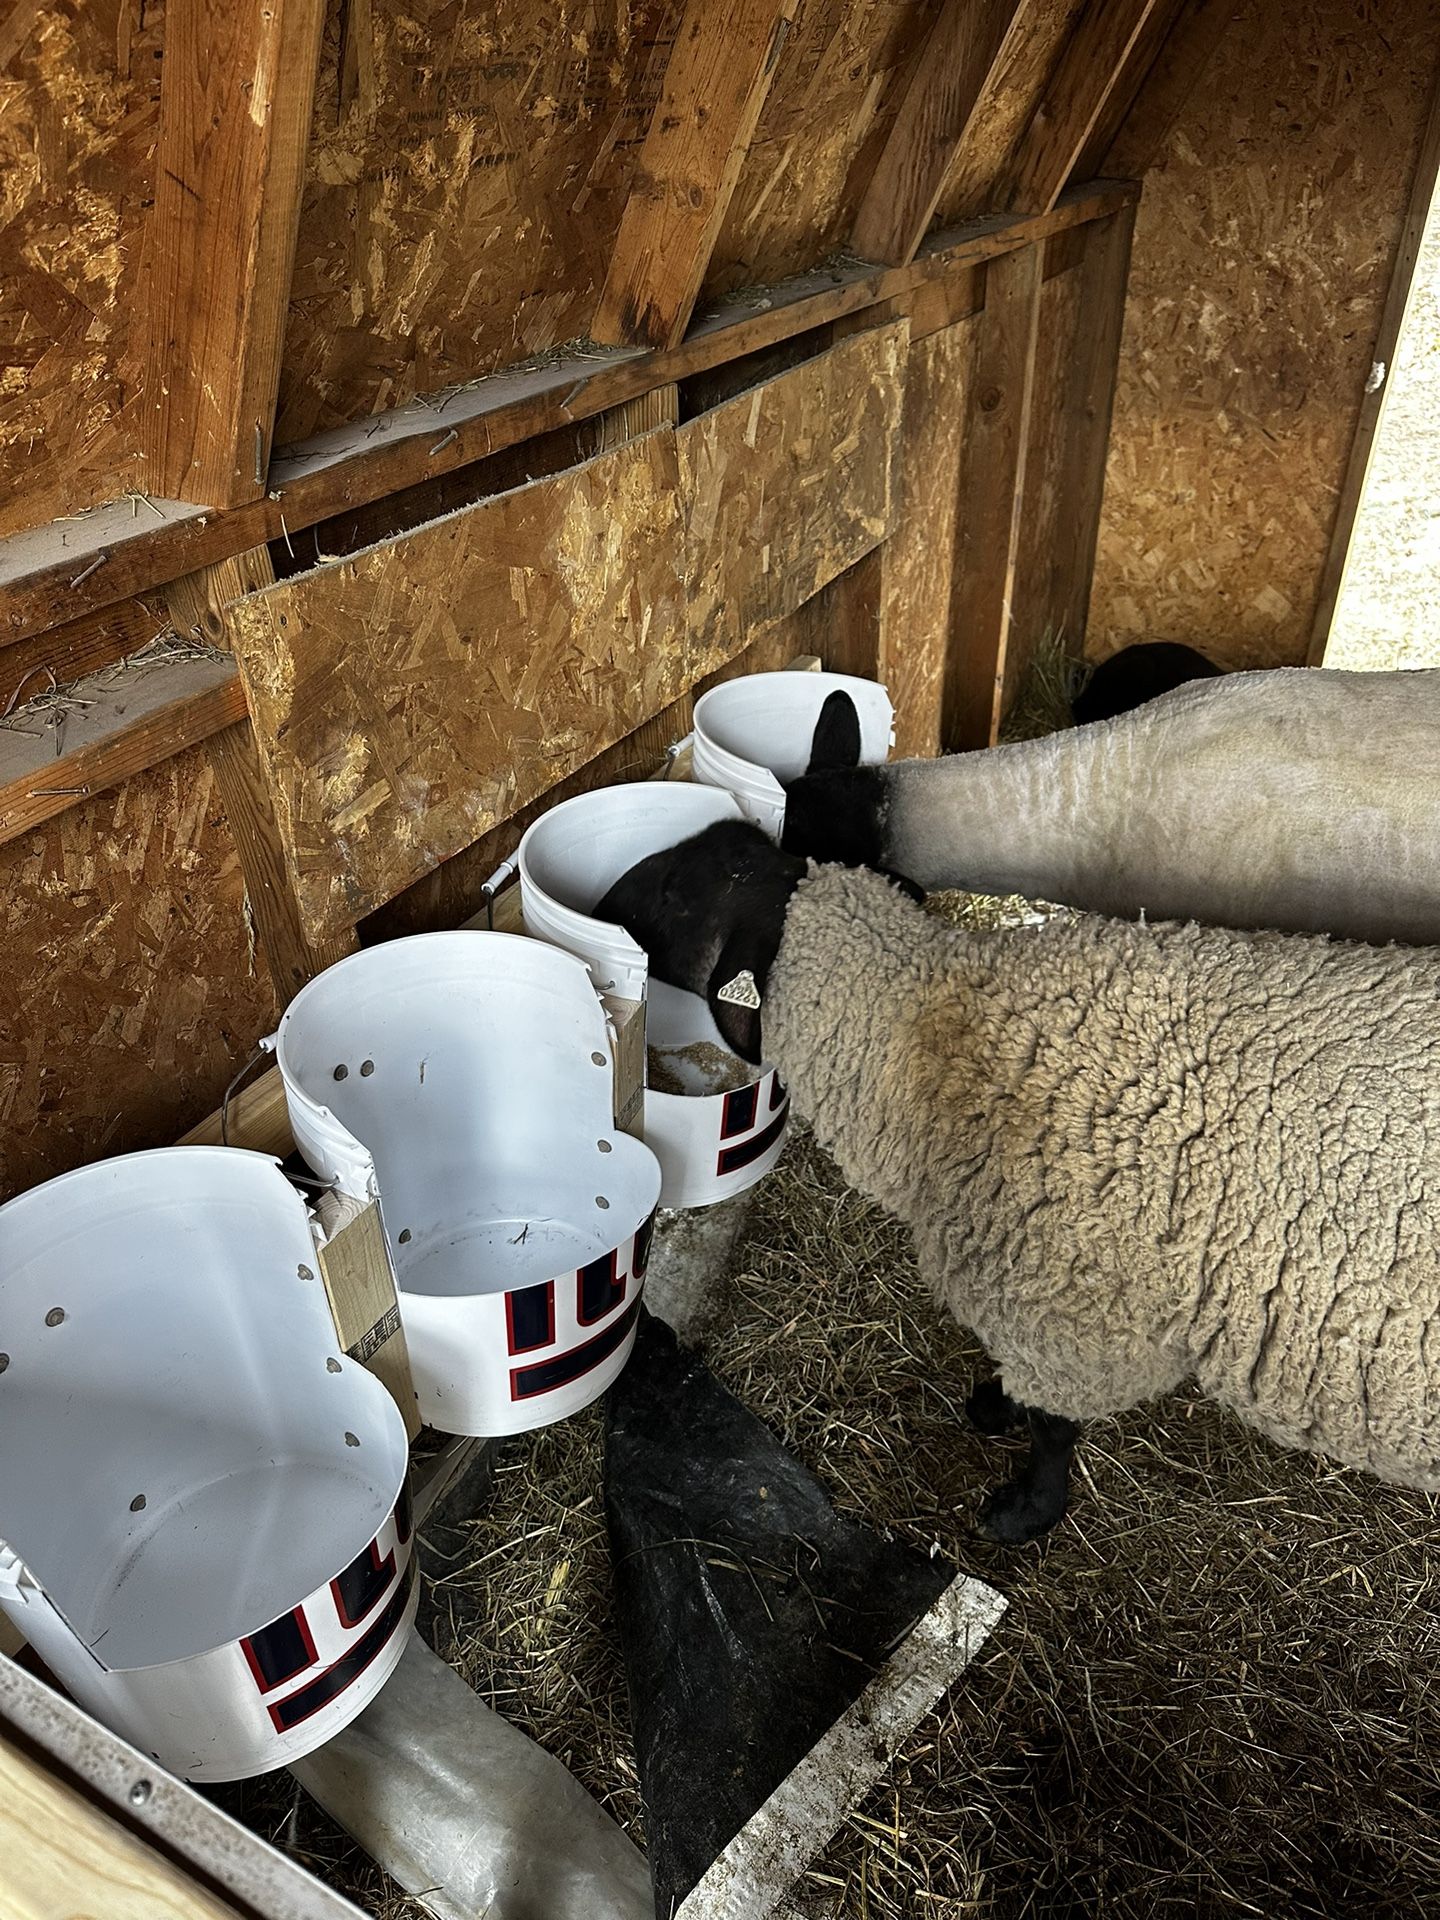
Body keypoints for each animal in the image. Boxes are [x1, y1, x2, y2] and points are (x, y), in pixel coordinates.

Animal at [594, 821, 1440, 1543]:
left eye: (674, 893)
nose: (601, 904)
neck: (930, 1036)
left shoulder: (1065, 1315)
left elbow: (1052, 1427)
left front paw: (1024, 1507)